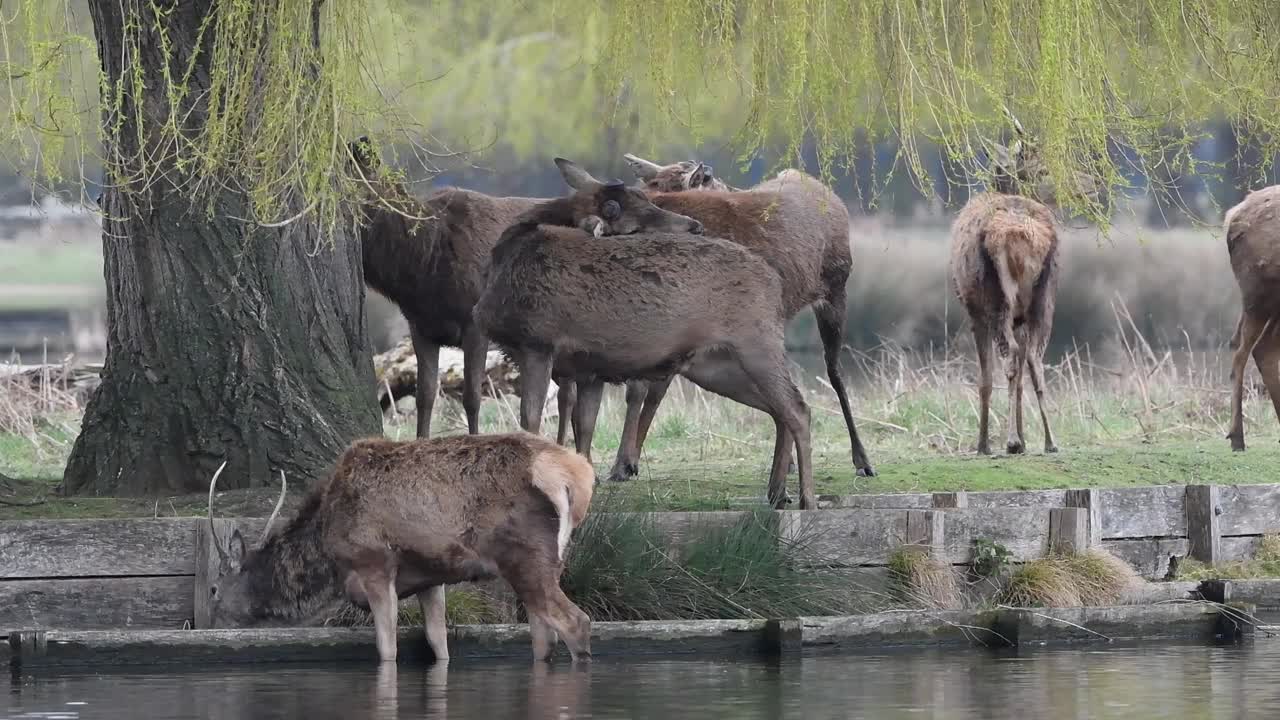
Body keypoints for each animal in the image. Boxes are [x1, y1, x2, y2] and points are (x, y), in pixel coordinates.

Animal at [203, 427, 593, 666]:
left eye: (213, 589)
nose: (210, 627)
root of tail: (575, 474)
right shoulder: (431, 577)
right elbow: (438, 642)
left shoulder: (375, 563)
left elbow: (387, 647)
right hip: (552, 560)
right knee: (544, 636)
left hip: (526, 556)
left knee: (576, 622)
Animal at [473, 155, 819, 509]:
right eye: (631, 227)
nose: (695, 227)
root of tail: (774, 283)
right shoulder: (587, 367)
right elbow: (584, 428)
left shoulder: (537, 341)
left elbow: (530, 421)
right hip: (715, 365)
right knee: (781, 410)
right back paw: (777, 492)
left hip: (755, 343)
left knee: (797, 408)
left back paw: (806, 497)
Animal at [563, 151, 875, 486]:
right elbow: (638, 388)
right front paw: (622, 463)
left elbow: (651, 389)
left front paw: (625, 463)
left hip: (836, 287)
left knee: (834, 372)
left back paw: (862, 459)